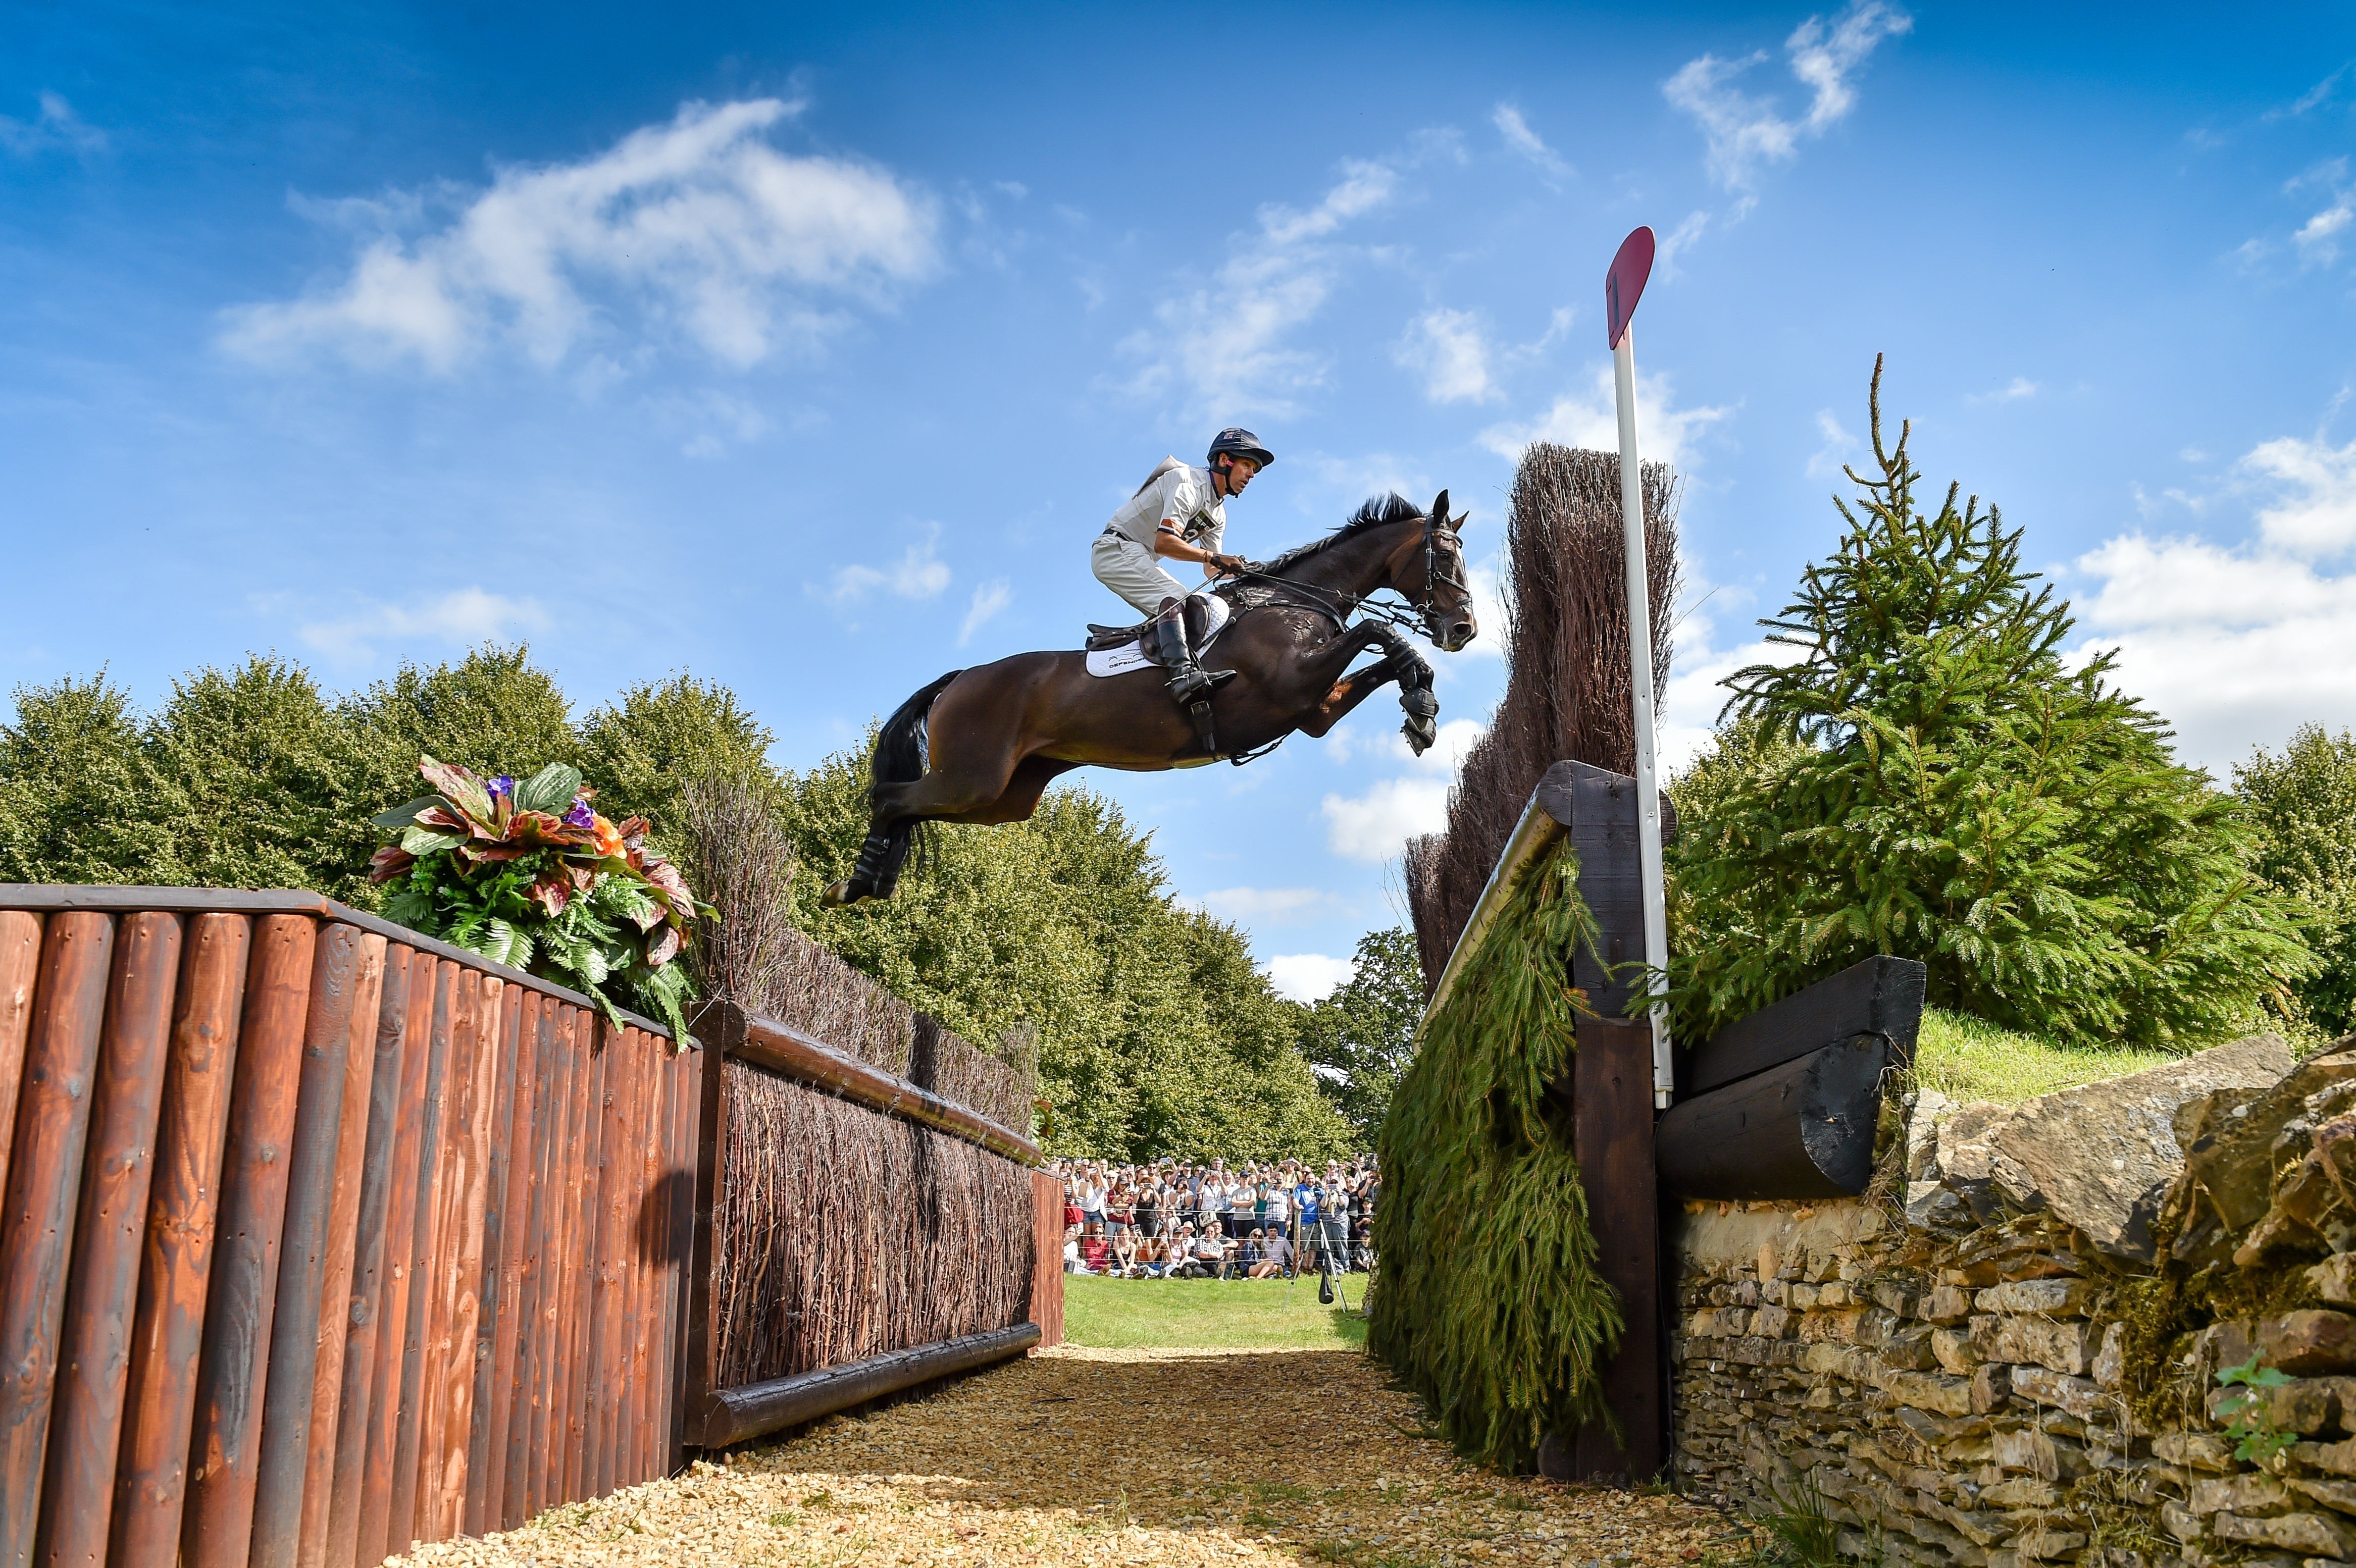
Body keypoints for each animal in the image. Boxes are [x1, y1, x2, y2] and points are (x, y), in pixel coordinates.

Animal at [822, 489, 1479, 907]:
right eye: (1446, 557)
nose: (1464, 630)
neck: (1296, 600)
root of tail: (963, 676)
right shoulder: (1292, 684)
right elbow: (1378, 632)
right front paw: (1421, 701)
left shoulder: (1314, 709)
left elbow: (1383, 655)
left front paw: (1420, 710)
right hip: (972, 778)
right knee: (889, 796)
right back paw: (855, 884)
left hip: (1002, 798)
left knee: (909, 806)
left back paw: (872, 881)